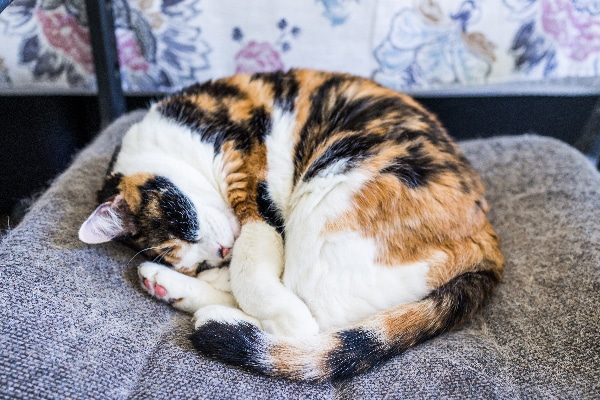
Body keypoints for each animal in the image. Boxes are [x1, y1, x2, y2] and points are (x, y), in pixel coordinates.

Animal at [78, 69, 502, 382]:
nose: (220, 254)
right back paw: (165, 286)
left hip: (326, 200)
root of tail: (488, 246)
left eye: (185, 225)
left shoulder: (252, 190)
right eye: (194, 261)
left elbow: (256, 279)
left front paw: (262, 298)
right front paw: (196, 277)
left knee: (309, 325)